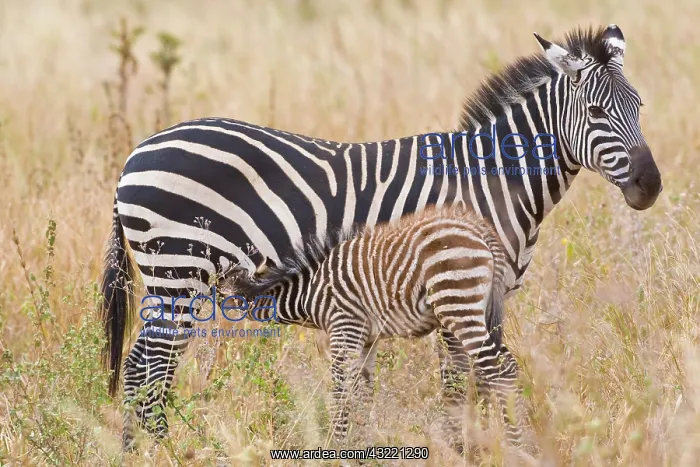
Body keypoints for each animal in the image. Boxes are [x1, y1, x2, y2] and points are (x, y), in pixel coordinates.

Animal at [229, 204, 520, 447]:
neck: (309, 292)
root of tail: (480, 229)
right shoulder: (368, 338)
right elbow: (363, 393)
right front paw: (362, 446)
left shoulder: (344, 325)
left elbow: (341, 391)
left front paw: (338, 448)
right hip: (475, 311)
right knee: (497, 368)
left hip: (456, 302)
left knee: (500, 370)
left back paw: (514, 447)